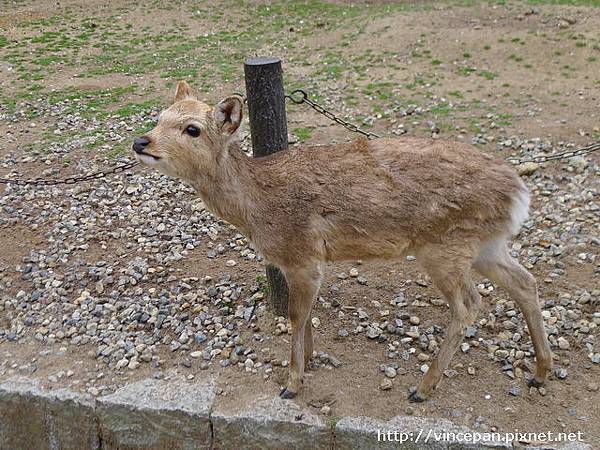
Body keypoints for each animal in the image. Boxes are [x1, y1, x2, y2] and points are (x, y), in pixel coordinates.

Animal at [130, 81, 552, 400]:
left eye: (192, 129)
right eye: (159, 117)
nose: (141, 142)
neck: (256, 207)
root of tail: (518, 194)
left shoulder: (301, 254)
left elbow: (296, 315)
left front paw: (292, 384)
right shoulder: (305, 262)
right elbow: (306, 316)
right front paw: (311, 360)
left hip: (445, 246)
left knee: (469, 305)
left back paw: (422, 387)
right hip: (486, 245)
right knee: (525, 281)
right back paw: (540, 372)